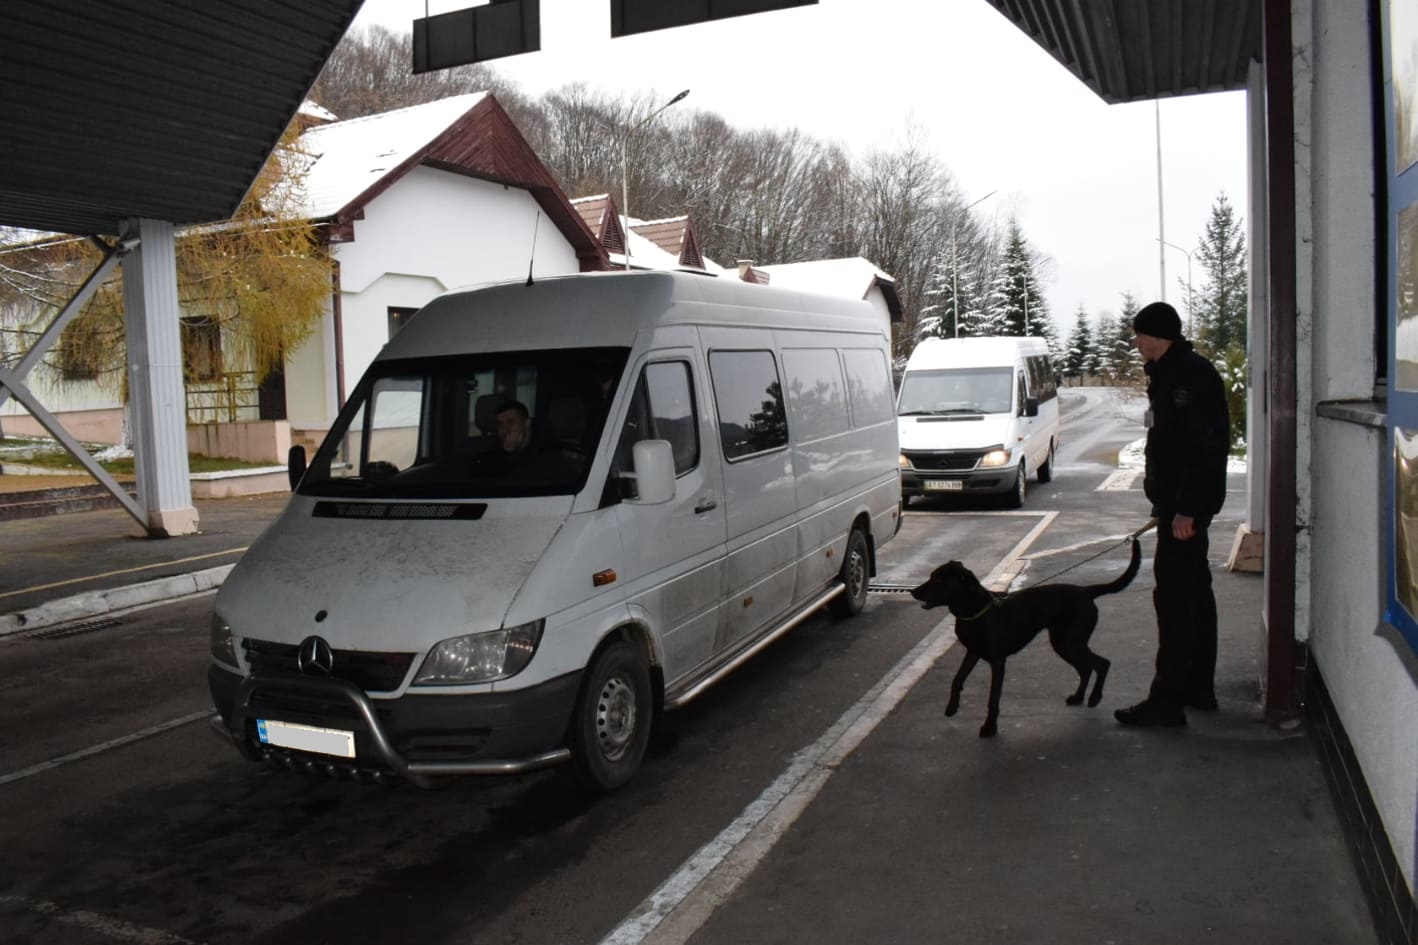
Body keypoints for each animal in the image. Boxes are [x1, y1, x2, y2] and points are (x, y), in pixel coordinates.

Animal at [913, 536, 1145, 737]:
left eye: (940, 580)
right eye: (932, 575)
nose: (913, 592)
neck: (976, 611)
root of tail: (1086, 591)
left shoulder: (997, 661)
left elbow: (993, 697)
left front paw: (990, 727)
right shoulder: (973, 652)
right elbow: (957, 678)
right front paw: (952, 707)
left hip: (1069, 642)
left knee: (1102, 663)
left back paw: (1095, 697)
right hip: (1063, 643)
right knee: (1087, 668)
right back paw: (1078, 697)